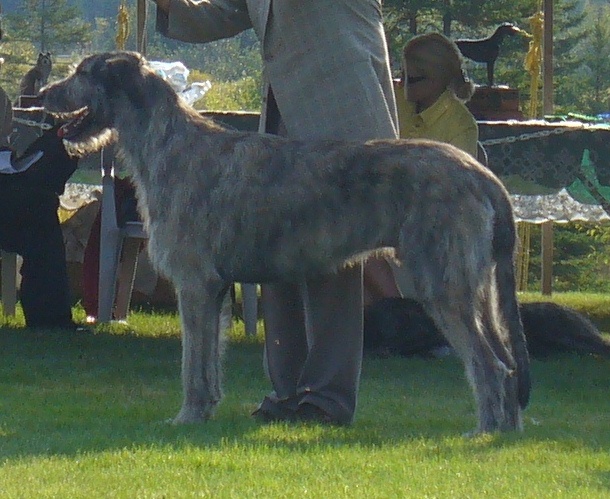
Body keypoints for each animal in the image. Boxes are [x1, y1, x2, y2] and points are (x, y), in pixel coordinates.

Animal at [40, 51, 530, 434]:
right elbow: (209, 359)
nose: (42, 95)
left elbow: (191, 362)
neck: (168, 142)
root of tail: (481, 174)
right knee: (507, 361)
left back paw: (483, 431)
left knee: (489, 363)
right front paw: (207, 410)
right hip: (476, 285)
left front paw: (187, 416)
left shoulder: (195, 283)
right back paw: (507, 428)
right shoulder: (216, 288)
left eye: (82, 71)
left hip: (441, 281)